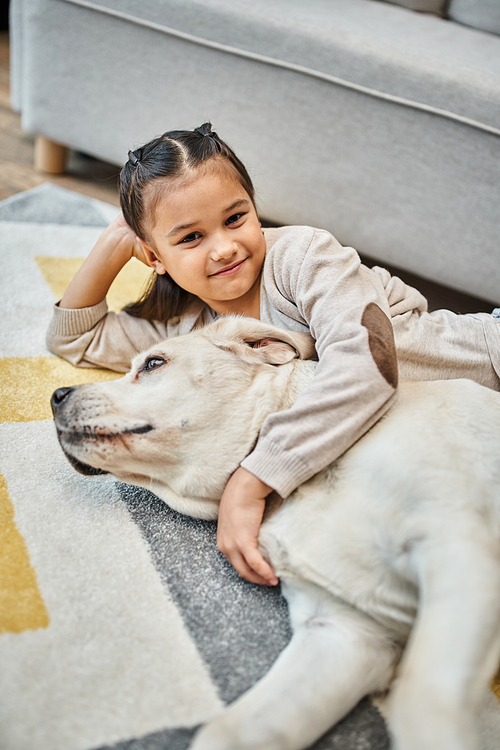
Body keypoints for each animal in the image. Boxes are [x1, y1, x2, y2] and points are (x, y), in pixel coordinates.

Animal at [49, 318, 500, 750]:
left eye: (154, 363)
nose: (56, 395)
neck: (303, 476)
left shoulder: (459, 549)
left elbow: (420, 700)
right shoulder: (342, 632)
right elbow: (224, 733)